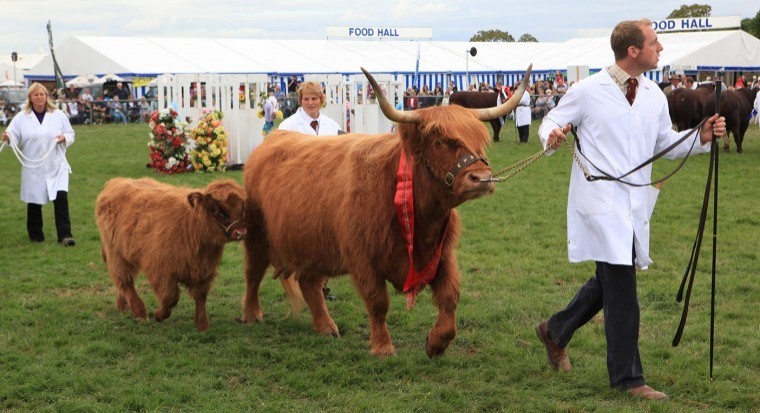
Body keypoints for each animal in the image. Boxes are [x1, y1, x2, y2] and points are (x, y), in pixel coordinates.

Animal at [95, 175, 246, 330]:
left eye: (242, 209)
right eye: (220, 213)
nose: (241, 232)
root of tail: (117, 181)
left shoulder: (203, 271)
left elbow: (200, 296)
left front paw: (202, 324)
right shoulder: (160, 271)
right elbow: (171, 297)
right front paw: (159, 315)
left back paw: (122, 306)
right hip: (115, 253)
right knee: (125, 281)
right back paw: (140, 312)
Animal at [240, 66, 532, 356]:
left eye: (479, 140)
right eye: (439, 142)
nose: (481, 177)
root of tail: (271, 141)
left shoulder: (442, 255)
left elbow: (450, 297)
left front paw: (436, 343)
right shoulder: (363, 257)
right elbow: (378, 302)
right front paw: (382, 346)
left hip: (312, 243)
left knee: (308, 282)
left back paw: (326, 326)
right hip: (257, 235)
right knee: (253, 273)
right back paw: (252, 314)